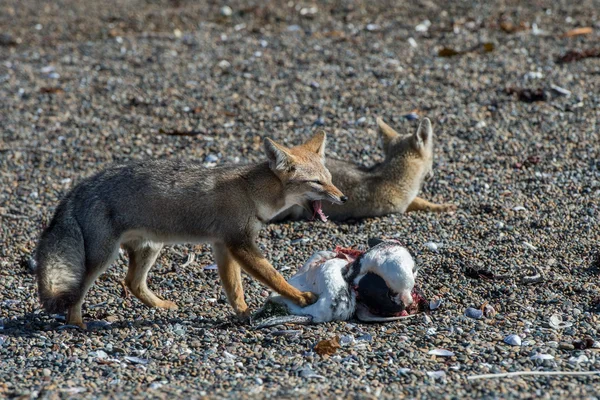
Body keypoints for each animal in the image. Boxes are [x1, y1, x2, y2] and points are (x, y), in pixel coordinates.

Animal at [36, 131, 346, 328]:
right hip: (103, 257)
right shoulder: (240, 244)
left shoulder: (223, 246)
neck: (250, 192)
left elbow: (234, 288)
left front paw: (243, 313)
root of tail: (80, 186)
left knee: (133, 283)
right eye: (317, 183)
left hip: (151, 248)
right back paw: (77, 323)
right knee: (79, 292)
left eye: (331, 179)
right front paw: (300, 297)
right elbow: (273, 276)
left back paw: (159, 306)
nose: (343, 198)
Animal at [274, 117, 458, 222]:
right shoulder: (396, 207)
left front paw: (440, 206)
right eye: (433, 158)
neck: (393, 178)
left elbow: (422, 201)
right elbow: (418, 204)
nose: (433, 174)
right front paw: (441, 207)